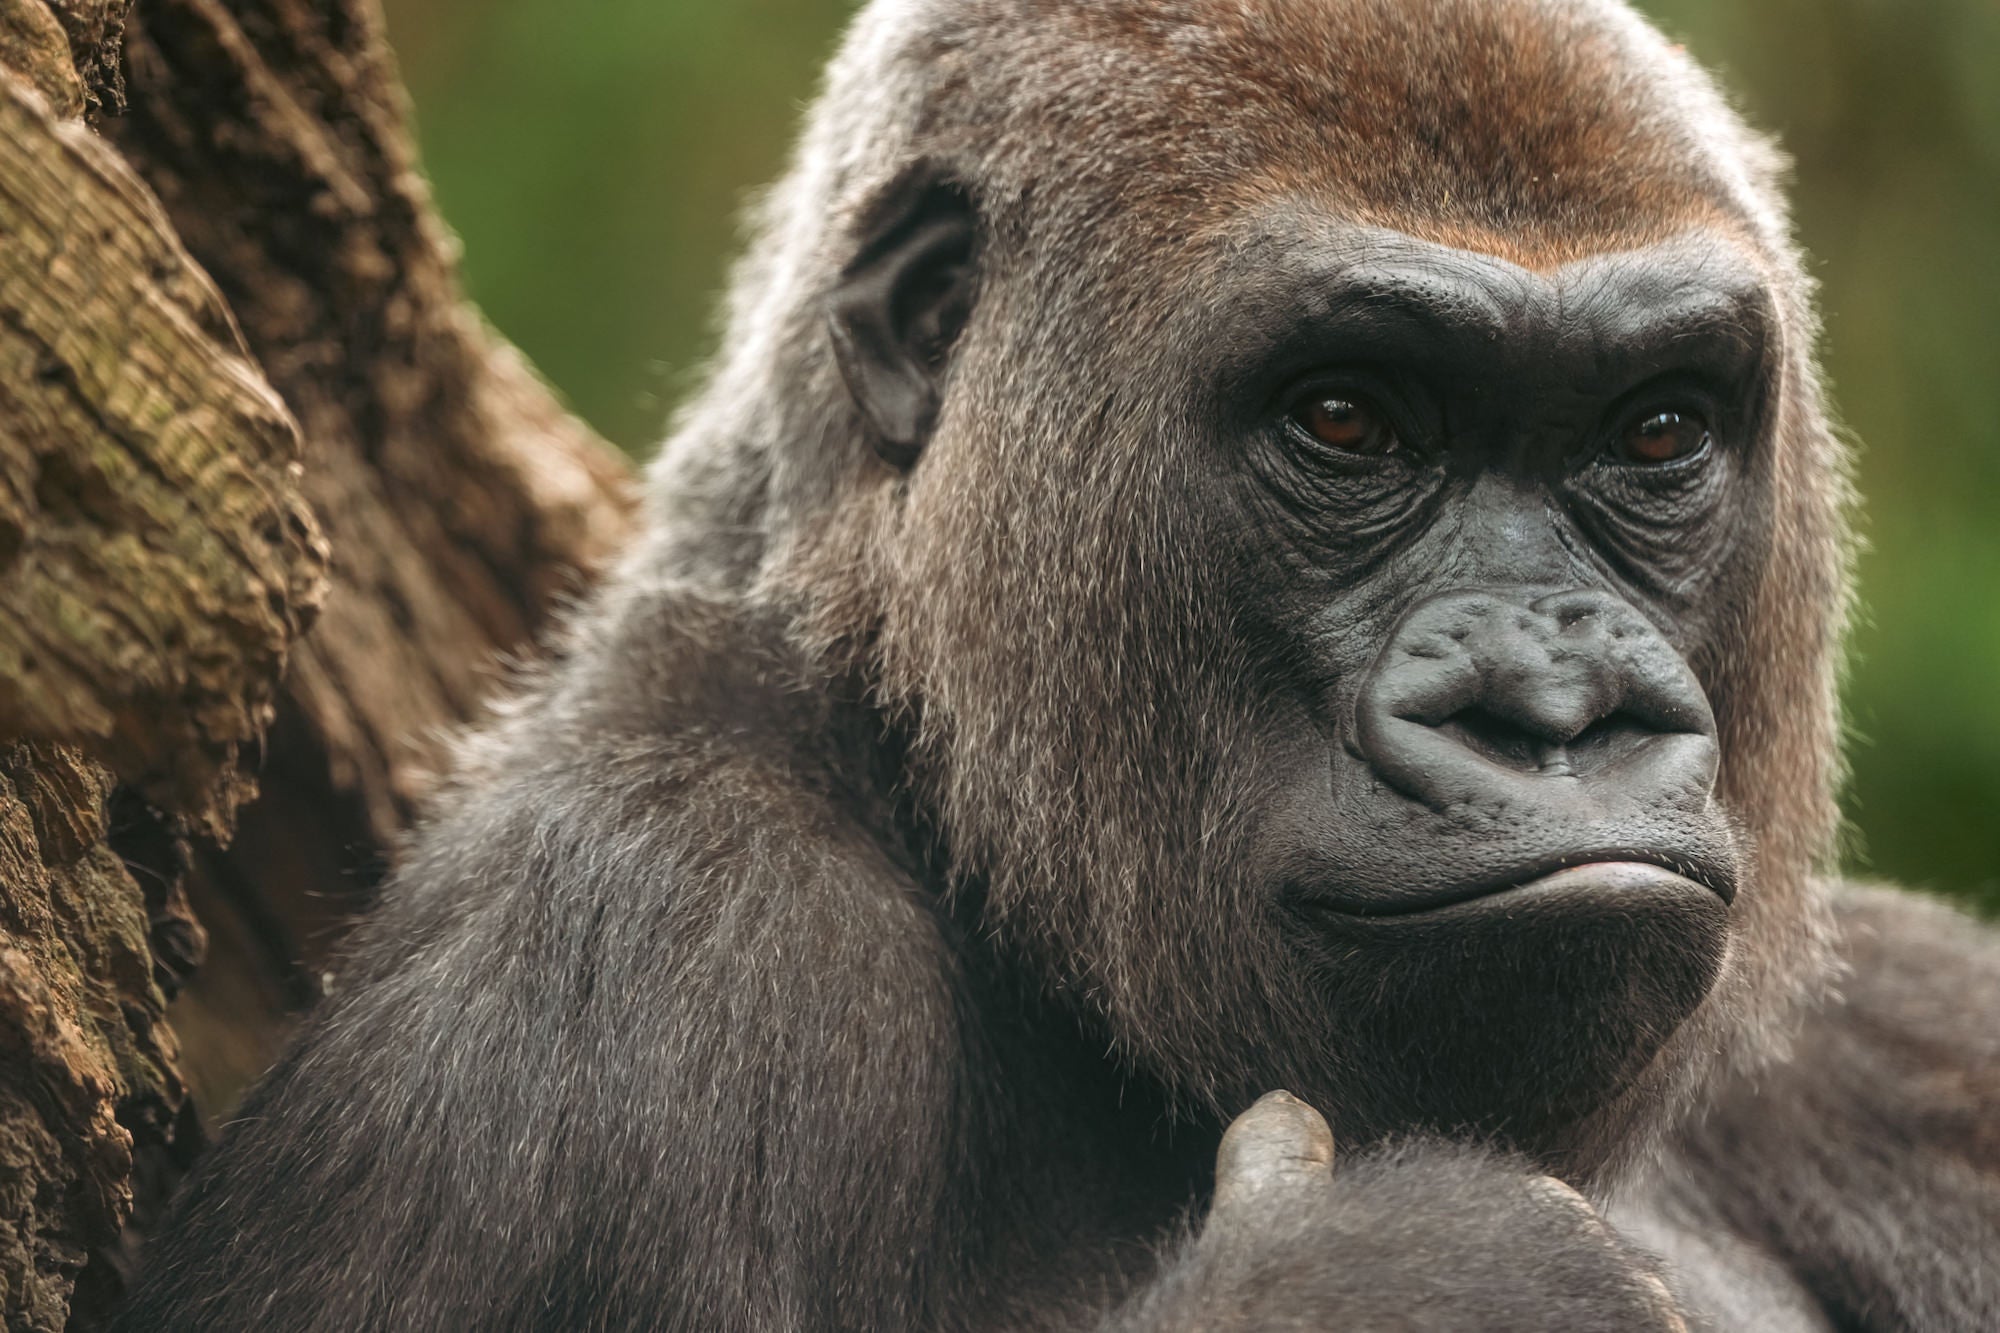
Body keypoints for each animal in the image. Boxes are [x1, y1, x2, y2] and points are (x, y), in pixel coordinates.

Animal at [116, 0, 2000, 1328]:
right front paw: (1405, 1291)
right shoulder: (614, 947)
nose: (1553, 712)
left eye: (1658, 432)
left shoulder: (1921, 1025)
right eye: (1346, 419)